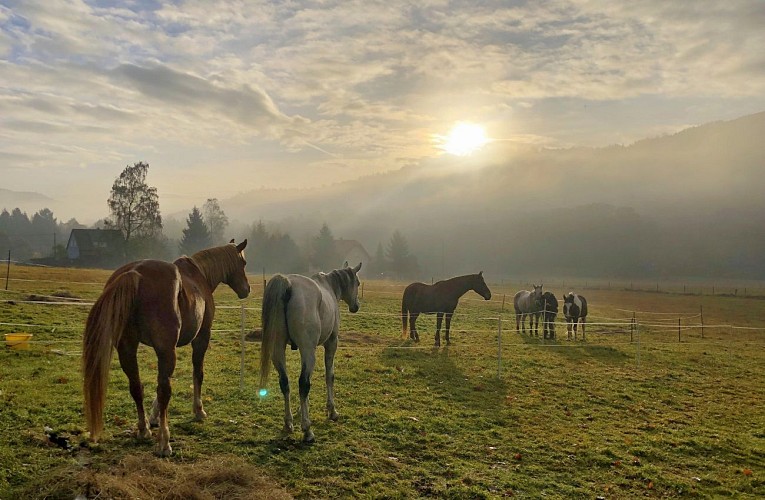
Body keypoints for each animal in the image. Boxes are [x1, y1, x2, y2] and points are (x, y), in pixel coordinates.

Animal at [82, 240, 250, 456]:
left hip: (129, 349)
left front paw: (152, 417)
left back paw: (144, 430)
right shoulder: (200, 338)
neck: (200, 276)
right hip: (165, 350)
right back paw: (164, 441)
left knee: (137, 387)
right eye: (243, 263)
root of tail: (135, 273)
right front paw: (199, 410)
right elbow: (197, 374)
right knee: (164, 390)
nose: (247, 289)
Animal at [259, 263, 362, 443]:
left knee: (285, 383)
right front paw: (332, 411)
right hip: (308, 350)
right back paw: (307, 430)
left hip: (278, 350)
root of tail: (287, 284)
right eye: (357, 283)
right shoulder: (331, 344)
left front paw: (303, 409)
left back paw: (288, 423)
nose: (356, 306)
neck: (329, 288)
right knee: (303, 383)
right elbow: (329, 376)